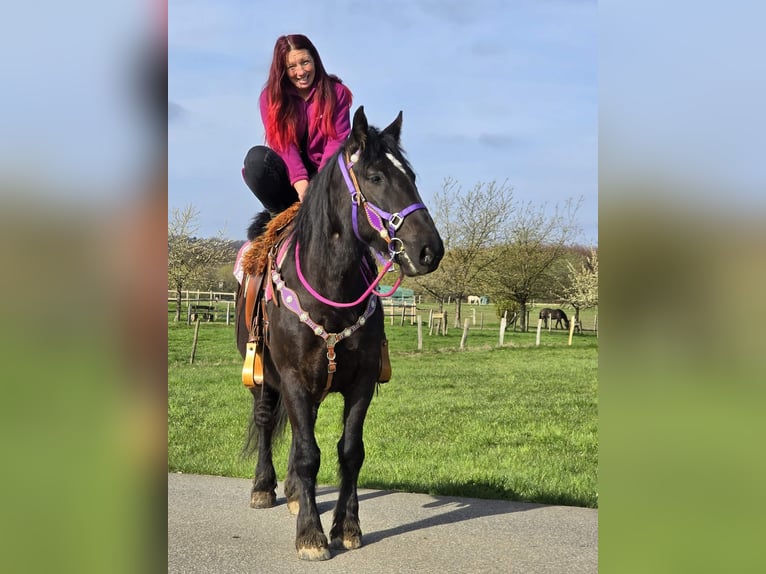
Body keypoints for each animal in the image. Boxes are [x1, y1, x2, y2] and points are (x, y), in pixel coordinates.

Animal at [235, 106, 444, 561]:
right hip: (264, 378)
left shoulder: (361, 382)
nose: (429, 250)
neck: (329, 293)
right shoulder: (293, 379)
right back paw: (264, 488)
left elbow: (348, 452)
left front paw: (346, 527)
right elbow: (308, 456)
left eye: (411, 176)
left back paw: (296, 493)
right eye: (375, 176)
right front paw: (311, 536)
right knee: (266, 422)